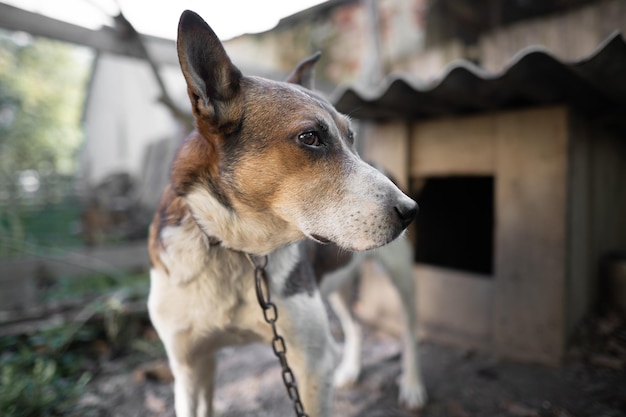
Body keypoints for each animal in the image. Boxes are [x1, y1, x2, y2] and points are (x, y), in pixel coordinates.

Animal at [149, 10, 416, 416]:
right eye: (310, 138)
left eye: (350, 138)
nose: (410, 210)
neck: (235, 250)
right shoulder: (190, 367)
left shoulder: (311, 363)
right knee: (354, 325)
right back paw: (352, 369)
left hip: (401, 277)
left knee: (410, 331)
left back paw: (414, 386)